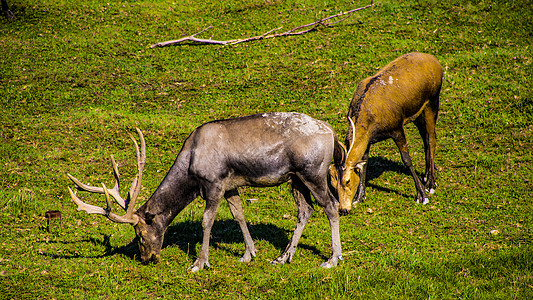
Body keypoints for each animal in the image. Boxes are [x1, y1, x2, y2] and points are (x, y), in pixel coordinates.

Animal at [67, 112, 340, 272]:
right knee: (305, 210)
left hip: (313, 172)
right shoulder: (231, 185)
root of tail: (332, 133)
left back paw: (332, 258)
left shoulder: (214, 183)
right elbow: (239, 215)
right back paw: (284, 257)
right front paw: (248, 254)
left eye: (141, 235)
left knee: (331, 207)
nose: (148, 258)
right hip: (296, 178)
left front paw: (199, 262)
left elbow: (207, 221)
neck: (191, 166)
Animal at [330, 52, 442, 214]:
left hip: (432, 101)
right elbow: (364, 162)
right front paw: (359, 197)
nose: (343, 209)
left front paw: (421, 196)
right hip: (418, 114)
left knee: (431, 139)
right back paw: (426, 177)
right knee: (426, 138)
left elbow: (406, 159)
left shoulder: (397, 127)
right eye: (332, 182)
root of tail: (435, 62)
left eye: (347, 180)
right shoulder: (369, 140)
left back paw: (431, 184)